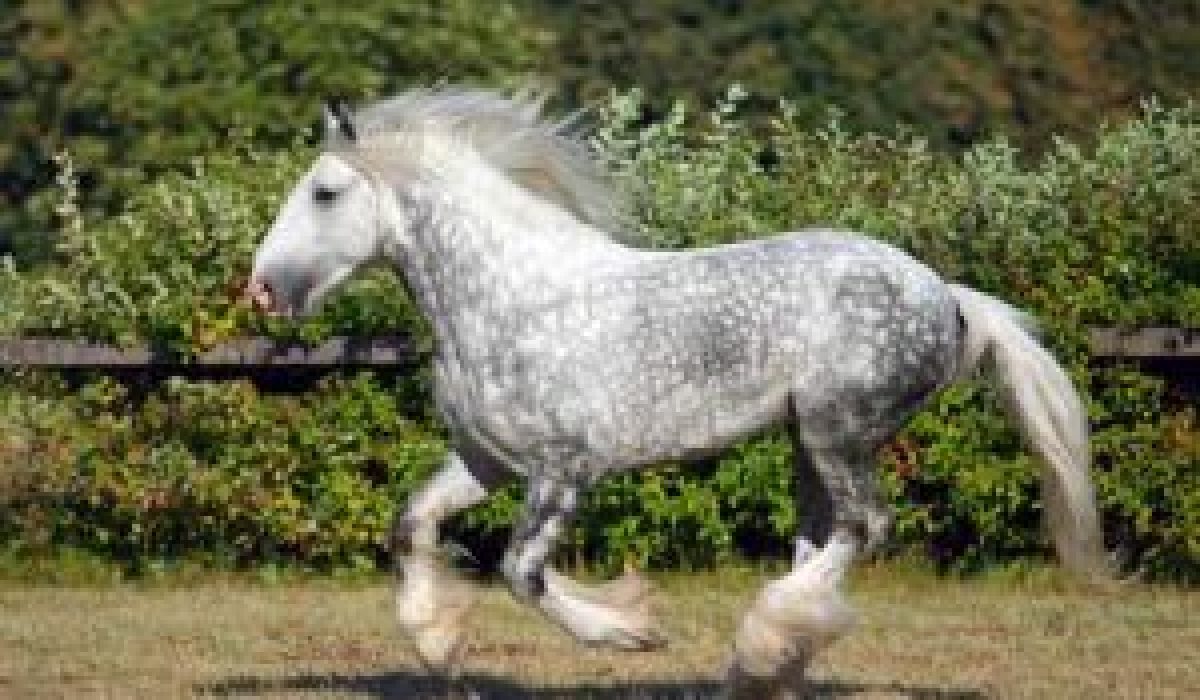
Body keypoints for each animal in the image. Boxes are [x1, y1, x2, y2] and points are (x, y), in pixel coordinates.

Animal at [245, 88, 1109, 697]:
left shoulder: (566, 470)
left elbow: (521, 572)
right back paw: (771, 663)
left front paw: (631, 635)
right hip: (806, 443)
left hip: (839, 432)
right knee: (824, 543)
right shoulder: (487, 463)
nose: (262, 290)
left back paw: (759, 646)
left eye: (324, 193)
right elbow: (412, 526)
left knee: (865, 528)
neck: (512, 299)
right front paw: (436, 643)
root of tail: (949, 298)